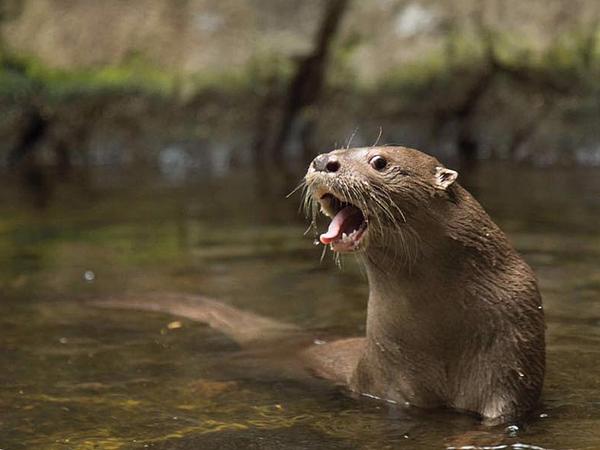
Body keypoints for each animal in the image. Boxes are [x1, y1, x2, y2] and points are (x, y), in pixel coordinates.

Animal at [94, 148, 544, 426]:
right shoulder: (396, 378)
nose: (322, 160)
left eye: (379, 161)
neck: (444, 332)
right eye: (336, 151)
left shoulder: (511, 362)